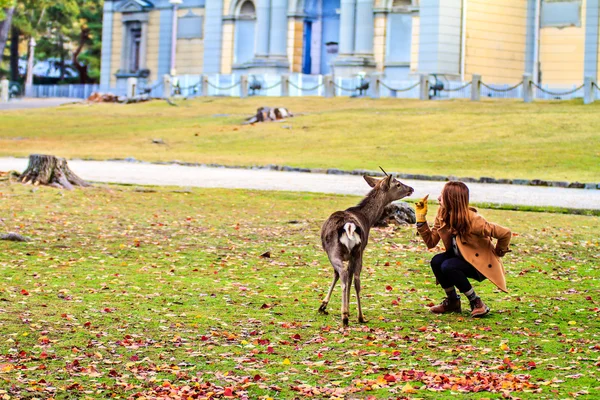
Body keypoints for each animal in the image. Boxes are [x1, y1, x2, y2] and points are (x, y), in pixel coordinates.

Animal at [318, 170, 412, 326]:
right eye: (398, 184)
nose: (411, 189)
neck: (368, 219)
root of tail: (349, 226)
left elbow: (337, 275)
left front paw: (324, 305)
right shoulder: (357, 252)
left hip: (335, 251)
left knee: (343, 274)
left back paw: (347, 316)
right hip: (356, 251)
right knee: (356, 278)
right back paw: (358, 316)